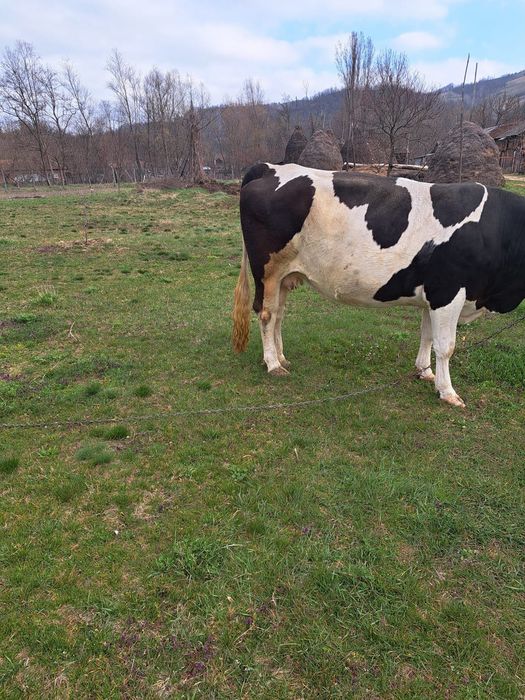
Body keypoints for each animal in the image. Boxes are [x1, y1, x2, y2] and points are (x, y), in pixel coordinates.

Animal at [232, 163, 525, 407]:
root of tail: (270, 167)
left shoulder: (431, 295)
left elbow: (427, 336)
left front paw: (424, 372)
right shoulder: (448, 291)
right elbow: (445, 346)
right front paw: (448, 392)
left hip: (285, 276)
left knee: (279, 314)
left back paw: (281, 357)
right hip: (267, 271)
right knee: (267, 314)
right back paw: (273, 364)